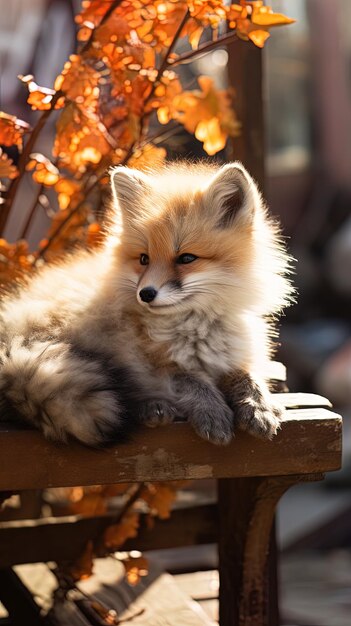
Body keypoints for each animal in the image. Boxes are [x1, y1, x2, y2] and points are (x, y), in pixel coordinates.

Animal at [0, 161, 294, 444]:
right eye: (144, 259)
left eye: (186, 258)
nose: (146, 294)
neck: (197, 330)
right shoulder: (154, 364)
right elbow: (191, 382)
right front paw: (212, 411)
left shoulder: (233, 357)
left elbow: (248, 379)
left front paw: (259, 407)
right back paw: (152, 407)